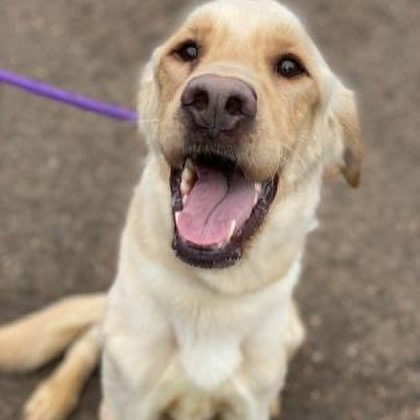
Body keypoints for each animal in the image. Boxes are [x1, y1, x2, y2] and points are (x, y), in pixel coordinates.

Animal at [0, 0, 360, 420]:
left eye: (290, 66)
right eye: (188, 51)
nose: (217, 100)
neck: (210, 293)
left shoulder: (245, 405)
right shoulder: (127, 401)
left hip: (293, 331)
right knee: (89, 339)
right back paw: (52, 396)